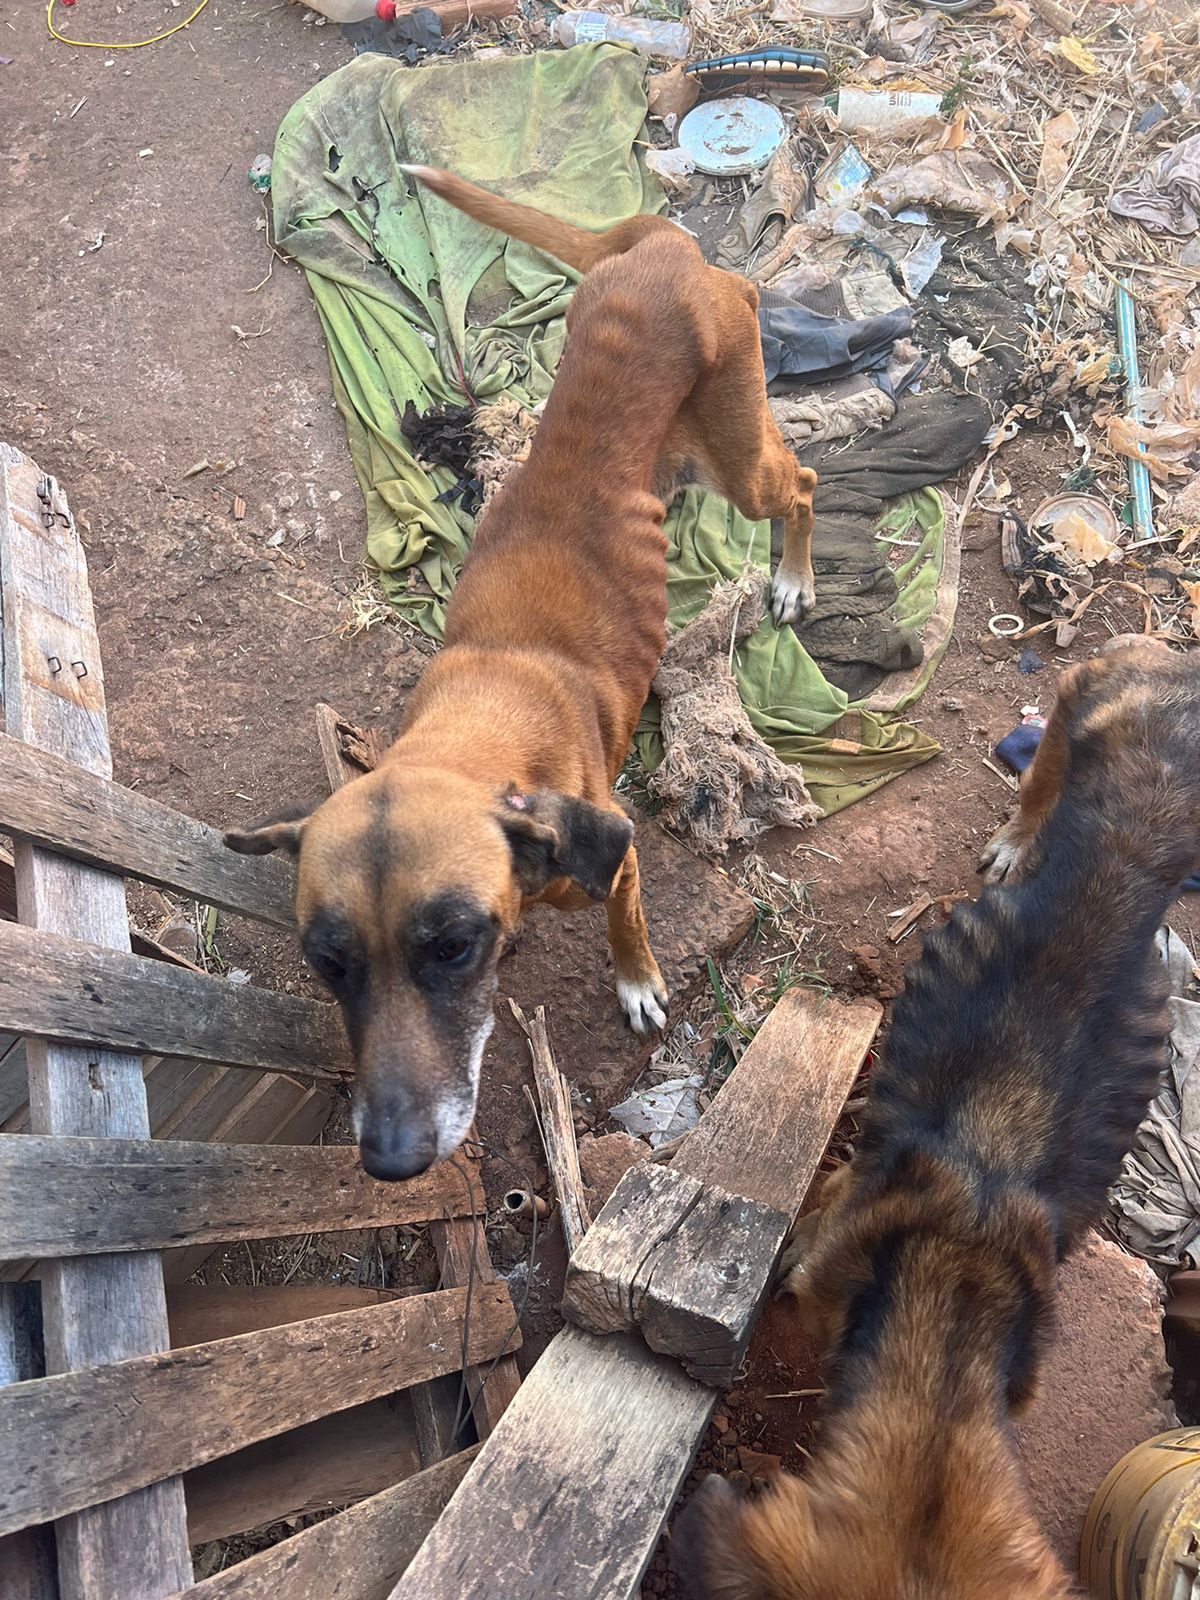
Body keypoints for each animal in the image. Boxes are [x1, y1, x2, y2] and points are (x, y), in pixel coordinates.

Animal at [224, 168, 819, 1184]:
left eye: (452, 948)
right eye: (325, 962)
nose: (390, 1160)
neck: (471, 732)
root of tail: (662, 249)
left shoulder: (612, 860)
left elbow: (629, 926)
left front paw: (638, 985)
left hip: (745, 463)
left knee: (806, 484)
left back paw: (793, 576)